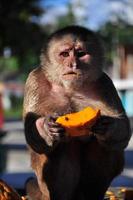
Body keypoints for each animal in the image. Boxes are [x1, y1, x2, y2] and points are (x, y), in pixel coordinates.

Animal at [22, 25, 131, 199]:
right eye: (65, 54)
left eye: (80, 54)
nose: (73, 64)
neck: (69, 87)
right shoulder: (35, 79)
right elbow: (33, 135)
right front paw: (45, 128)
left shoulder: (104, 82)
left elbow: (123, 129)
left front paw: (108, 127)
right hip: (45, 188)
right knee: (62, 146)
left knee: (104, 145)